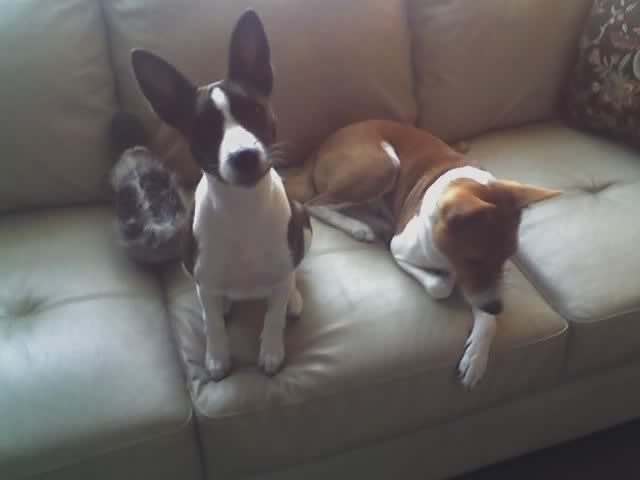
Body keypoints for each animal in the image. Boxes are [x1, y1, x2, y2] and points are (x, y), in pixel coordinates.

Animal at [129, 10, 312, 381]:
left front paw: (271, 350)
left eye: (254, 112)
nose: (244, 156)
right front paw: (216, 356)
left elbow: (273, 316)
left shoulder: (283, 262)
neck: (242, 208)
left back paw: (292, 298)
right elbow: (212, 324)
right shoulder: (201, 272)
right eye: (203, 130)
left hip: (304, 220)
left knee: (291, 276)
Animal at [285, 119, 560, 388]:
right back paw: (359, 227)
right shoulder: (401, 249)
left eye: (508, 256)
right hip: (382, 166)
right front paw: (448, 282)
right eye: (473, 259)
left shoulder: (484, 287)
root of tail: (320, 146)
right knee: (315, 204)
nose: (497, 307)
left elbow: (486, 315)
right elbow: (440, 287)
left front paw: (477, 355)